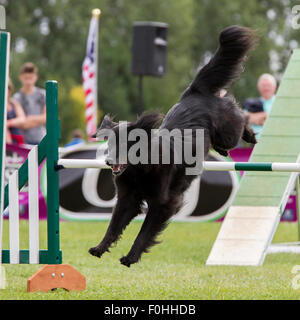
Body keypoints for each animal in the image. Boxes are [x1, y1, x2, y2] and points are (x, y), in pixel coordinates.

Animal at [88, 25, 255, 266]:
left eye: (125, 143)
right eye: (109, 143)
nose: (109, 162)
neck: (140, 168)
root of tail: (194, 91)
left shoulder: (163, 202)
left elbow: (144, 232)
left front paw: (131, 257)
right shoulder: (128, 198)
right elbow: (113, 225)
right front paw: (100, 248)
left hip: (228, 132)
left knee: (239, 116)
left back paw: (250, 136)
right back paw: (224, 149)